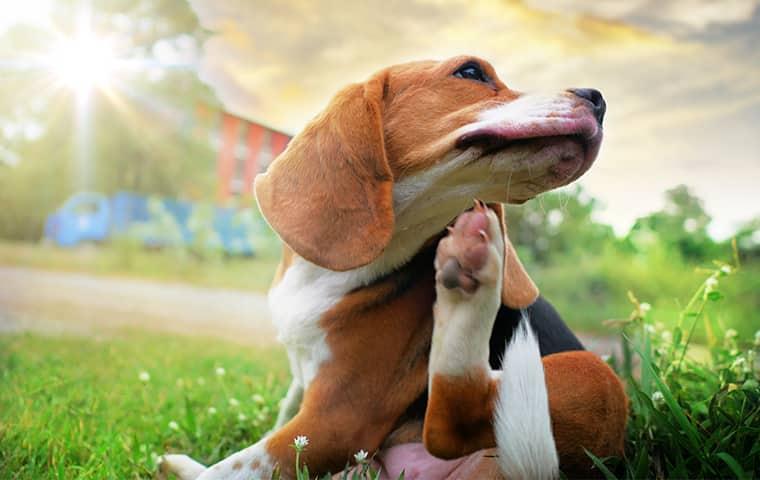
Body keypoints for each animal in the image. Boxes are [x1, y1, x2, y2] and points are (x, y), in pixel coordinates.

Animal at [159, 55, 624, 480]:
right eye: (471, 72)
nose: (598, 99)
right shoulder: (302, 389)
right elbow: (277, 419)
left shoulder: (337, 420)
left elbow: (232, 468)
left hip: (595, 375)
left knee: (452, 423)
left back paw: (472, 287)